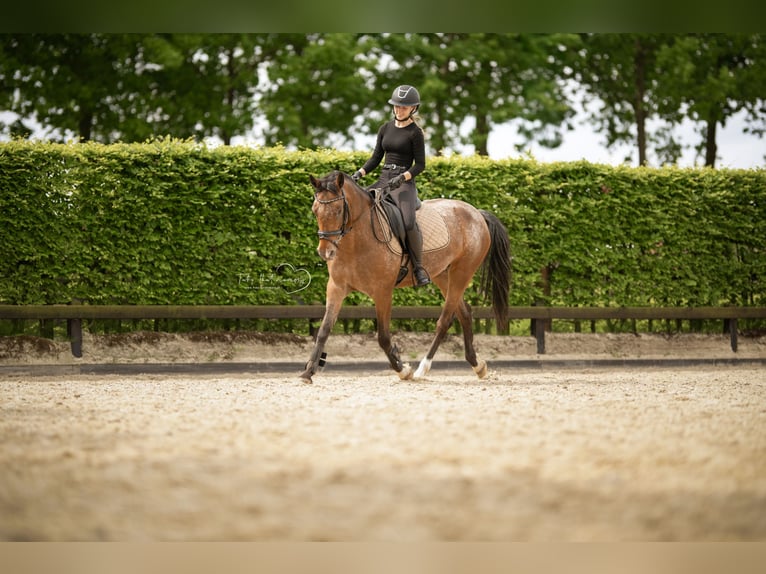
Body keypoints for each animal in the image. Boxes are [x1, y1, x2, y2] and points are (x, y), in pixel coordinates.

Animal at [301, 170, 511, 383]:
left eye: (337, 210)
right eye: (315, 210)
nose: (325, 252)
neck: (356, 241)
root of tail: (477, 213)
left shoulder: (382, 292)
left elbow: (383, 337)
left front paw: (403, 369)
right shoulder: (336, 287)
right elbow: (324, 331)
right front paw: (308, 372)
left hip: (462, 272)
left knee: (444, 321)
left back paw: (422, 368)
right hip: (443, 275)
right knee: (465, 313)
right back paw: (478, 366)